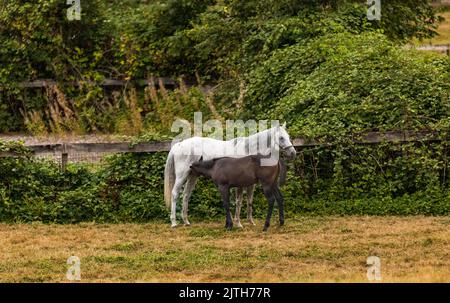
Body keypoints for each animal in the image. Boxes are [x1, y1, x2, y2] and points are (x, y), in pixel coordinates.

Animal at [163, 123, 298, 228]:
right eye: (281, 138)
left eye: (288, 137)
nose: (293, 153)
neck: (249, 149)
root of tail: (178, 146)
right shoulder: (240, 184)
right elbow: (239, 201)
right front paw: (238, 223)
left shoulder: (250, 184)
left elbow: (249, 201)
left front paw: (250, 222)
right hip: (182, 175)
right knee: (175, 194)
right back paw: (174, 222)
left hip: (192, 176)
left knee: (186, 195)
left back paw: (186, 221)